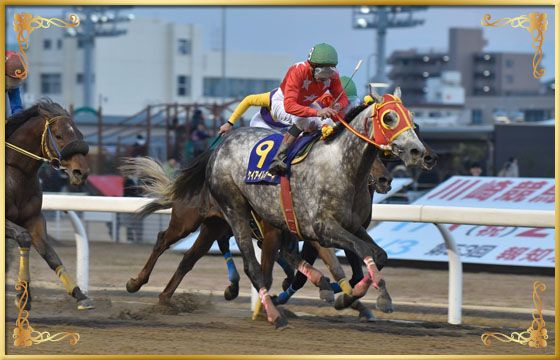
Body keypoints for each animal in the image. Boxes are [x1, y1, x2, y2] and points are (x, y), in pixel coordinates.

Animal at [5, 98, 94, 310]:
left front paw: (80, 295)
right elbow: (24, 238)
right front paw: (23, 296)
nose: (81, 172)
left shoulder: (35, 219)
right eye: (59, 135)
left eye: (80, 134)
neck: (15, 173)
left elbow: (50, 254)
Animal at [174, 88, 424, 330]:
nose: (417, 151)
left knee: (277, 255)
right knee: (248, 265)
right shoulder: (322, 228)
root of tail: (221, 145)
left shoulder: (351, 225)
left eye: (412, 118)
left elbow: (377, 255)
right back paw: (273, 315)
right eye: (389, 117)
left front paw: (348, 296)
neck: (341, 166)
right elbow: (361, 252)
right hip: (232, 209)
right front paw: (379, 296)